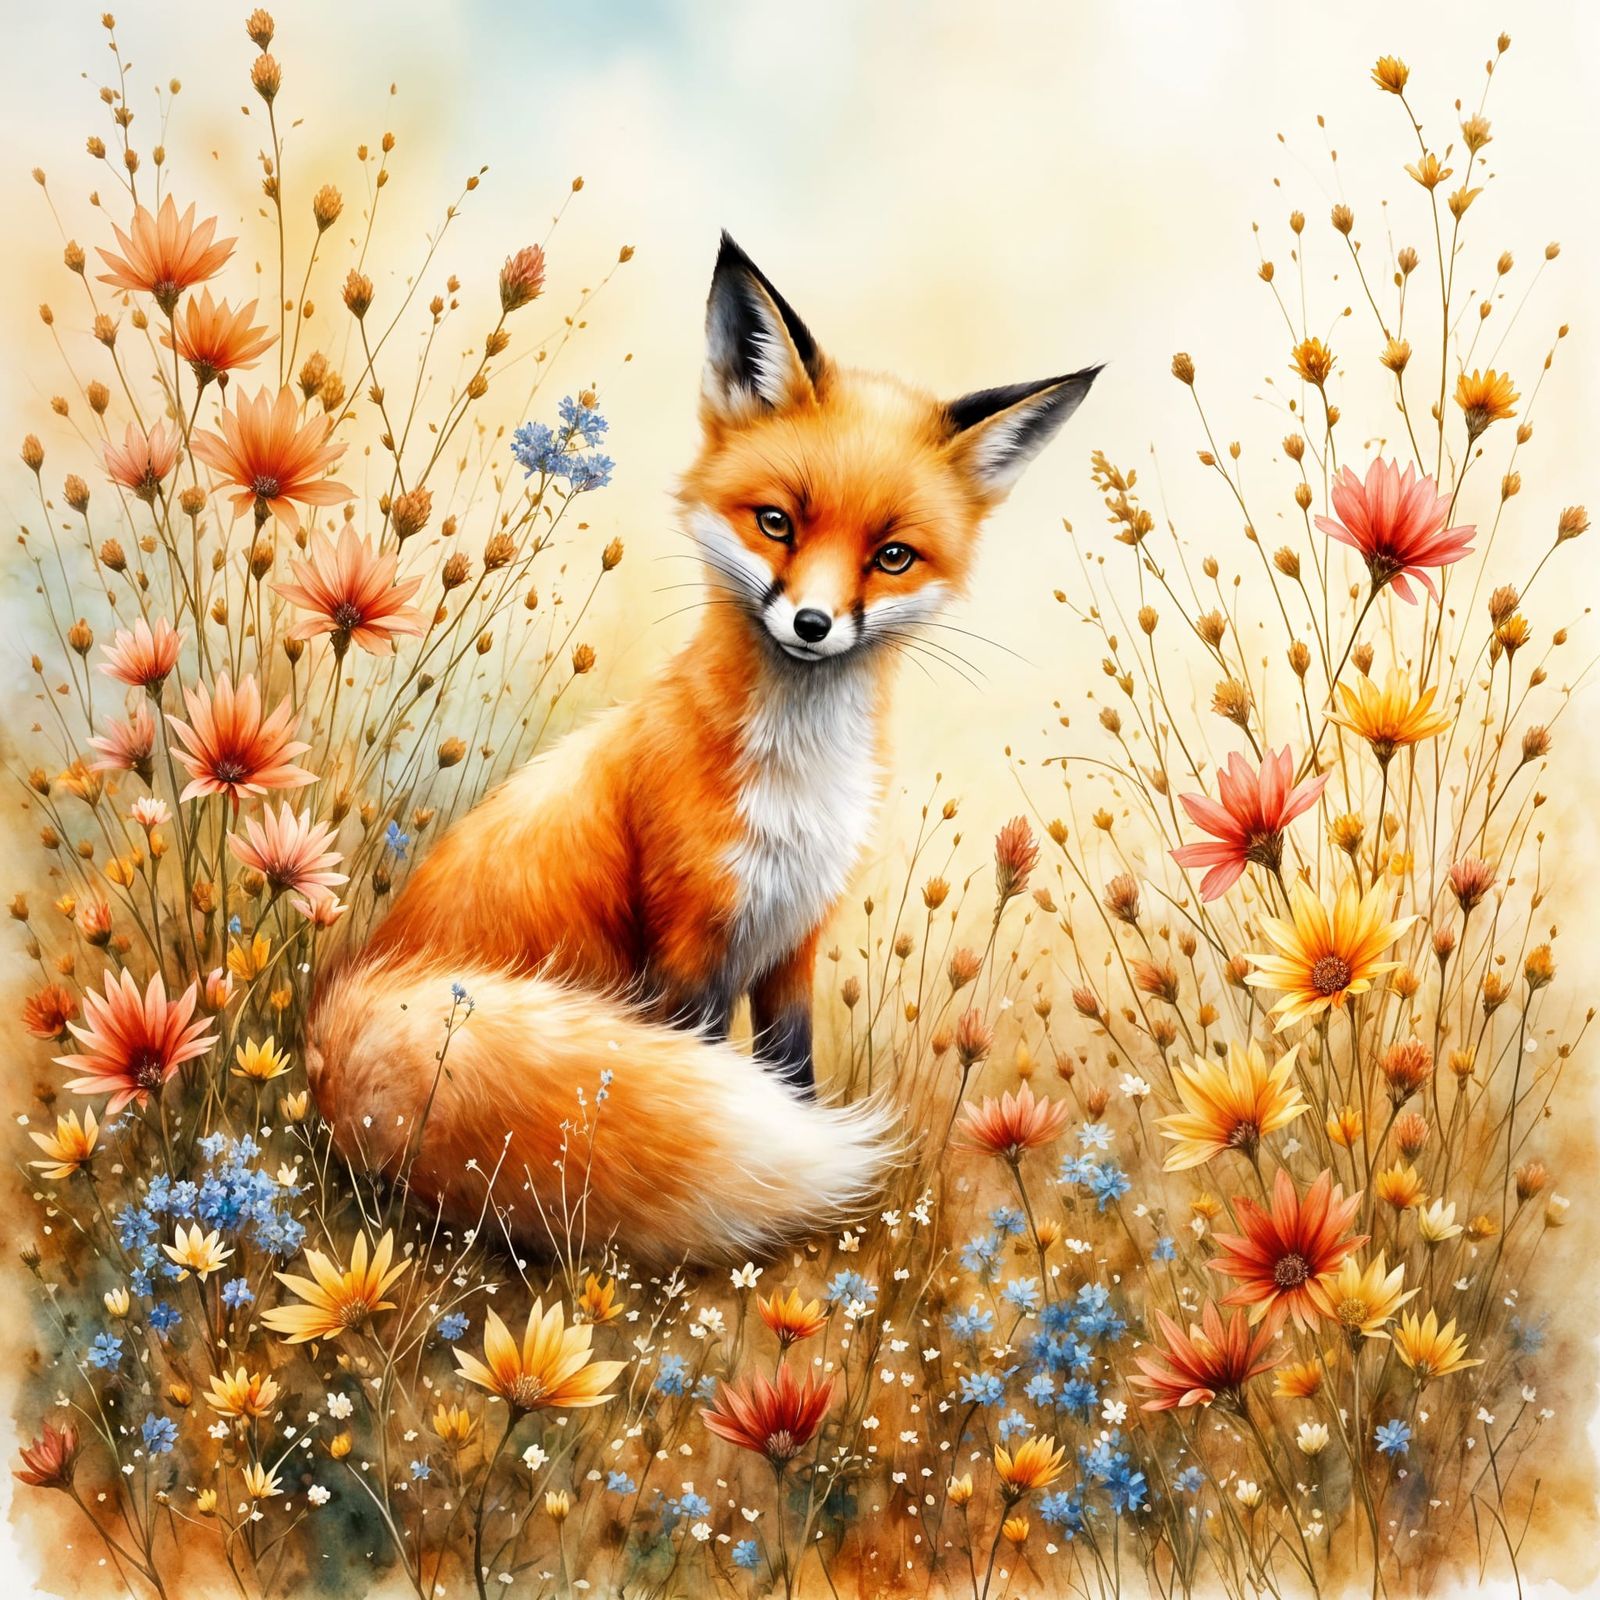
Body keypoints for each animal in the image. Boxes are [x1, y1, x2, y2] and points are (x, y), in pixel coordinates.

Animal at [304, 234, 1098, 1266]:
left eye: (892, 556)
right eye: (778, 523)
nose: (812, 625)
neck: (796, 784)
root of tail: (340, 1011)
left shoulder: (793, 940)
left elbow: (790, 1078)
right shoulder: (688, 949)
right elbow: (725, 1077)